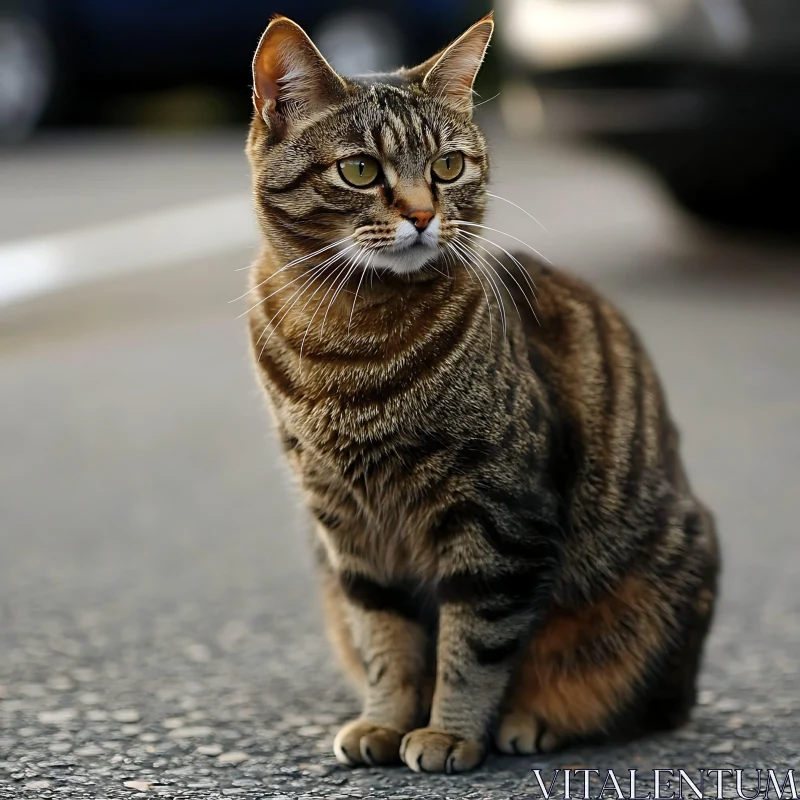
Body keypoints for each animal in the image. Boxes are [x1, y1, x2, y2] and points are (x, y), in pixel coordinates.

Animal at [244, 14, 720, 776]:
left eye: (448, 167)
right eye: (360, 170)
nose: (420, 215)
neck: (348, 338)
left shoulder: (498, 517)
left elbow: (472, 645)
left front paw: (448, 734)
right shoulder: (348, 530)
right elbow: (385, 640)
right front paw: (386, 720)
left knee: (635, 706)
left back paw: (534, 721)